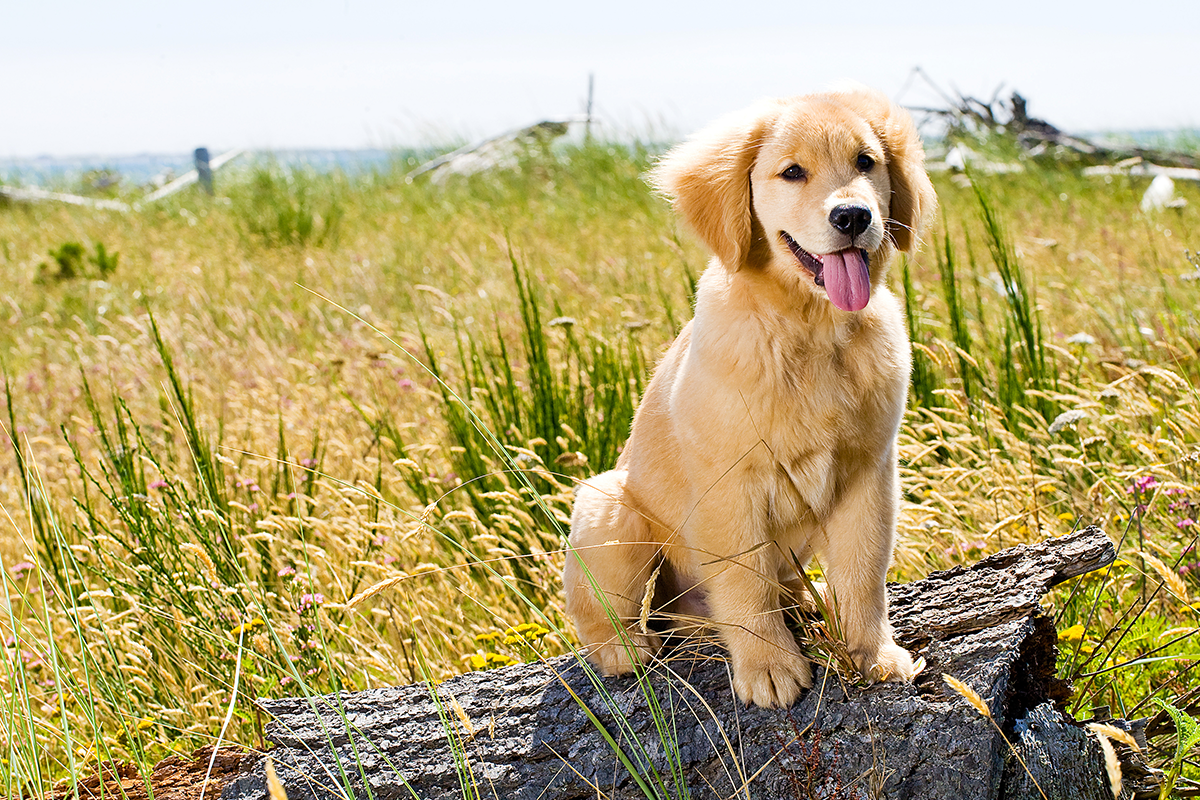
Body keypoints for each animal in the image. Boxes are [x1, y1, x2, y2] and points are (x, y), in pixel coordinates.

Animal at [561, 90, 936, 710]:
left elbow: (863, 574)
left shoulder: (869, 473)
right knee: (604, 611)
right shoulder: (730, 486)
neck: (811, 330)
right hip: (609, 504)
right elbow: (743, 580)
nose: (853, 217)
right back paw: (623, 650)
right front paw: (768, 666)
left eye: (866, 163)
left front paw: (873, 654)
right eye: (792, 172)